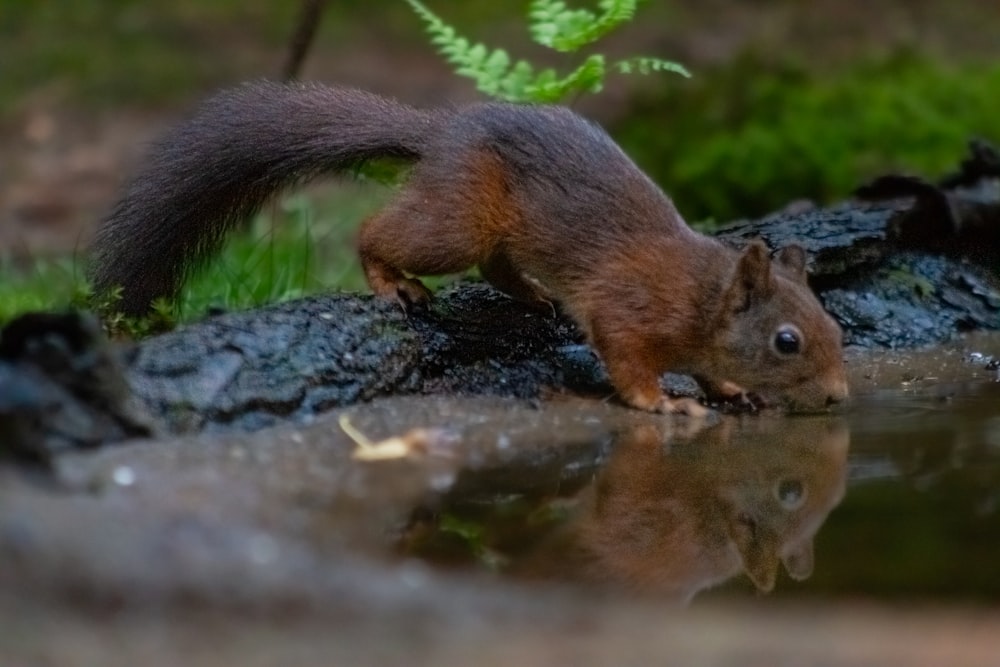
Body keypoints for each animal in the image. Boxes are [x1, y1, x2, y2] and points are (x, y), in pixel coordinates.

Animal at [90, 81, 848, 414]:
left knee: (498, 264)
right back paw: (390, 282)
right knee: (380, 233)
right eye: (786, 341)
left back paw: (533, 295)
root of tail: (443, 133)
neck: (699, 293)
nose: (841, 395)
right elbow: (625, 356)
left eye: (834, 326)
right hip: (455, 224)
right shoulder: (627, 308)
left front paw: (728, 388)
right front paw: (663, 403)